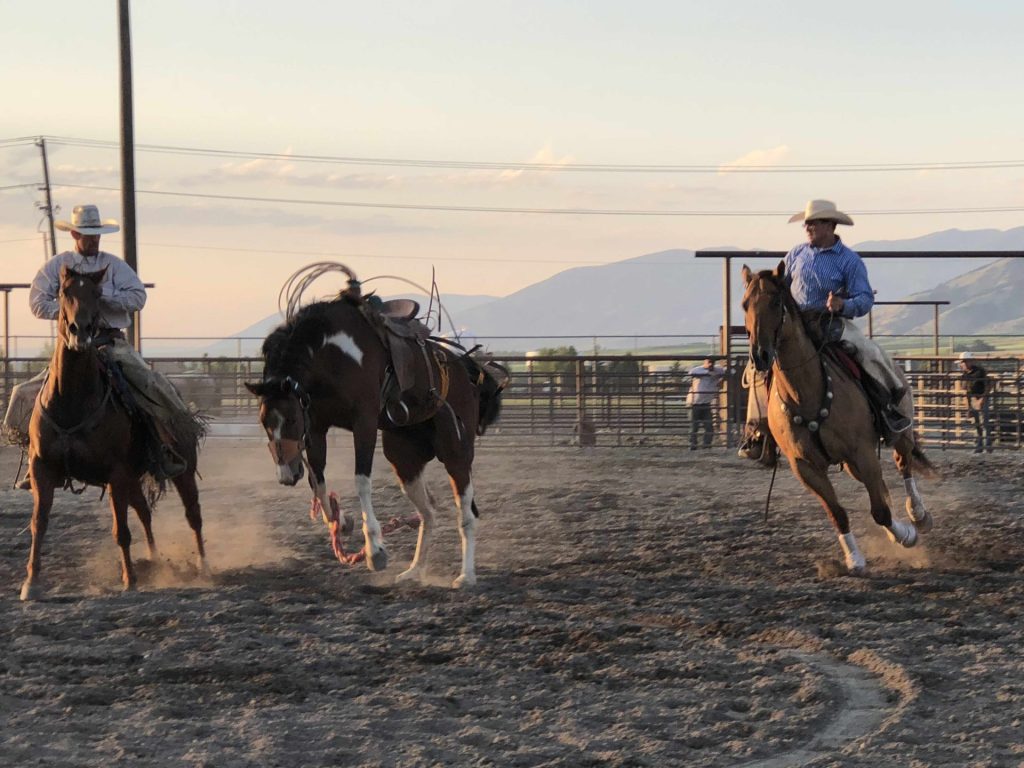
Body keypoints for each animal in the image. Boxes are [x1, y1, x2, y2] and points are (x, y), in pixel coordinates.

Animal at [22, 268, 205, 602]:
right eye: (65, 292)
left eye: (97, 293)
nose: (80, 331)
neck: (72, 400)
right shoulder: (42, 469)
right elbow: (38, 524)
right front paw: (32, 583)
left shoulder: (115, 473)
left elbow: (120, 530)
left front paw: (129, 579)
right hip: (133, 477)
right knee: (144, 512)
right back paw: (155, 561)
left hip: (181, 470)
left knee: (193, 514)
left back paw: (203, 565)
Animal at [244, 270, 507, 589]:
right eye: (264, 422)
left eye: (292, 420)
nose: (286, 474)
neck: (332, 353)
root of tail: (467, 372)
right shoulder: (317, 426)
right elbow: (317, 481)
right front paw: (342, 522)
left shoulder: (364, 421)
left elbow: (361, 481)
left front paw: (374, 551)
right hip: (404, 459)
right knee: (428, 513)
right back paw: (414, 570)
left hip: (456, 451)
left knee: (466, 514)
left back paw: (465, 575)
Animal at [741, 262, 933, 573]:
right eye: (745, 304)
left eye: (776, 302)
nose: (760, 355)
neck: (806, 393)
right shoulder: (805, 467)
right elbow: (838, 513)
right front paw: (854, 559)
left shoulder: (862, 452)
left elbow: (880, 510)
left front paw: (906, 535)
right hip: (852, 464)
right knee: (884, 485)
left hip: (899, 432)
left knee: (903, 465)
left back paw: (918, 516)